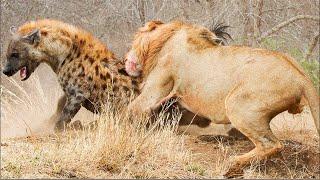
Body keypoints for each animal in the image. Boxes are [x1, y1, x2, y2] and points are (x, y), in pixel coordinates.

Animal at [124, 20, 318, 175]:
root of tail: (301, 76)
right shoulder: (187, 108)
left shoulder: (156, 88)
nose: (125, 57)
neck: (169, 37)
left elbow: (130, 110)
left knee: (271, 144)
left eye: (134, 39)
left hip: (237, 105)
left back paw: (232, 164)